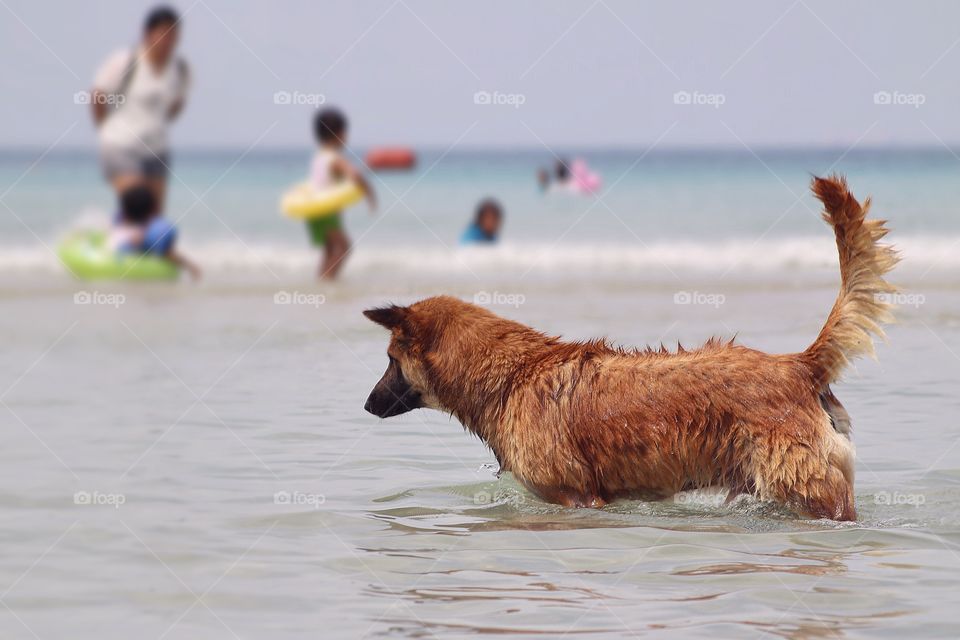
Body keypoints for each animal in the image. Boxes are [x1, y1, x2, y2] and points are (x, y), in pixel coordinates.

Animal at [364, 175, 896, 520]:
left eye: (390, 360)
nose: (367, 406)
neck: (511, 377)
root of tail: (798, 364)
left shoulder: (579, 499)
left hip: (805, 487)